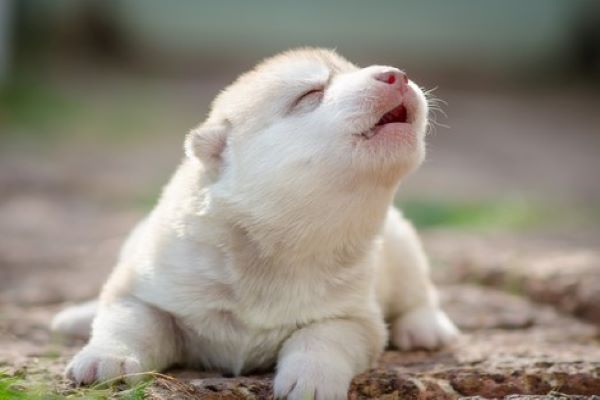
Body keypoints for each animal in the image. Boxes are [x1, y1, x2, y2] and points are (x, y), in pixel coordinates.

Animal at [54, 48, 460, 398]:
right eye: (311, 93)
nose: (397, 75)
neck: (280, 239)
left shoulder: (355, 318)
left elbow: (322, 338)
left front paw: (312, 380)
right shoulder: (144, 291)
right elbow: (130, 322)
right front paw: (107, 358)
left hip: (402, 245)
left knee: (418, 293)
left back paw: (425, 328)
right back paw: (78, 316)